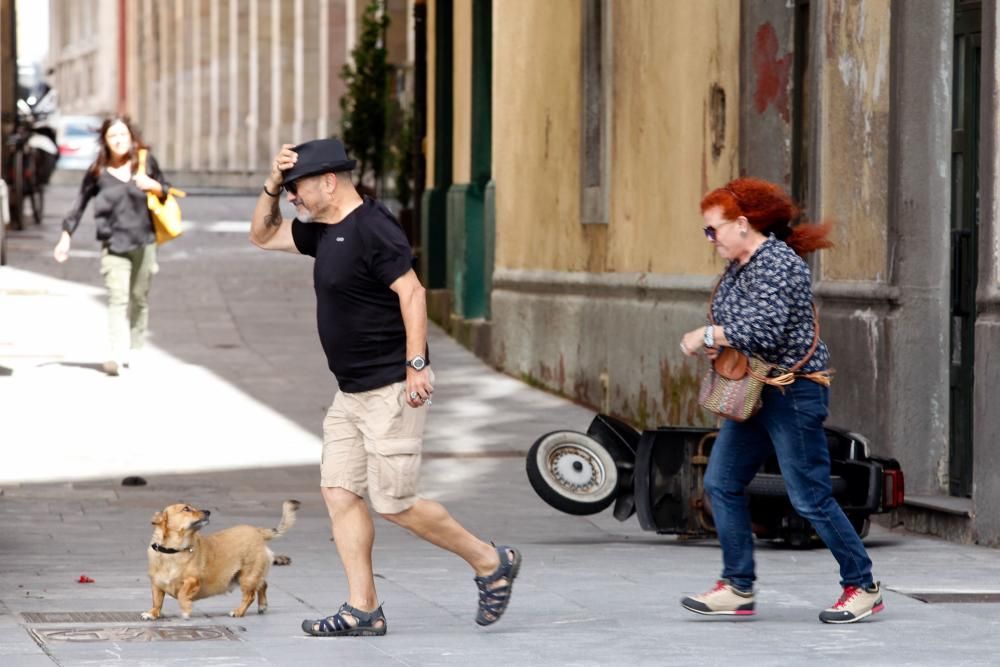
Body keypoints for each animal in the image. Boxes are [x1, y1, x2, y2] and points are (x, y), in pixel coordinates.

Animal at [141, 500, 298, 620]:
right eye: (186, 509)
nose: (208, 511)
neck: (172, 551)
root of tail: (258, 531)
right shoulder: (156, 584)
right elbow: (157, 601)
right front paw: (152, 614)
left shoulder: (193, 580)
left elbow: (182, 593)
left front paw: (185, 609)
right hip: (250, 576)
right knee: (263, 585)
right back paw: (262, 606)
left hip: (247, 577)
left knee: (250, 596)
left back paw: (238, 611)